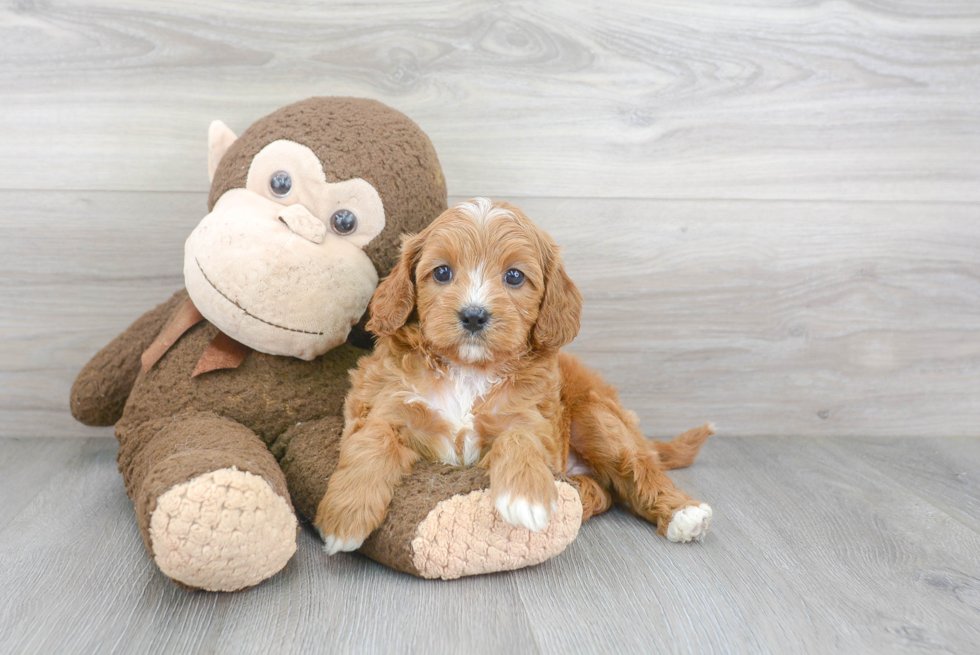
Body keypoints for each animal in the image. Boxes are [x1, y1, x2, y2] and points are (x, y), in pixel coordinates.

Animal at [318, 196, 716, 552]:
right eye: (442, 272)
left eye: (514, 277)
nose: (474, 315)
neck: (469, 370)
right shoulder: (387, 407)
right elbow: (373, 442)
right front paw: (345, 517)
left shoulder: (532, 419)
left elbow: (520, 438)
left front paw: (526, 498)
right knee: (605, 491)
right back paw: (579, 496)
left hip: (597, 418)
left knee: (637, 469)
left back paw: (683, 512)